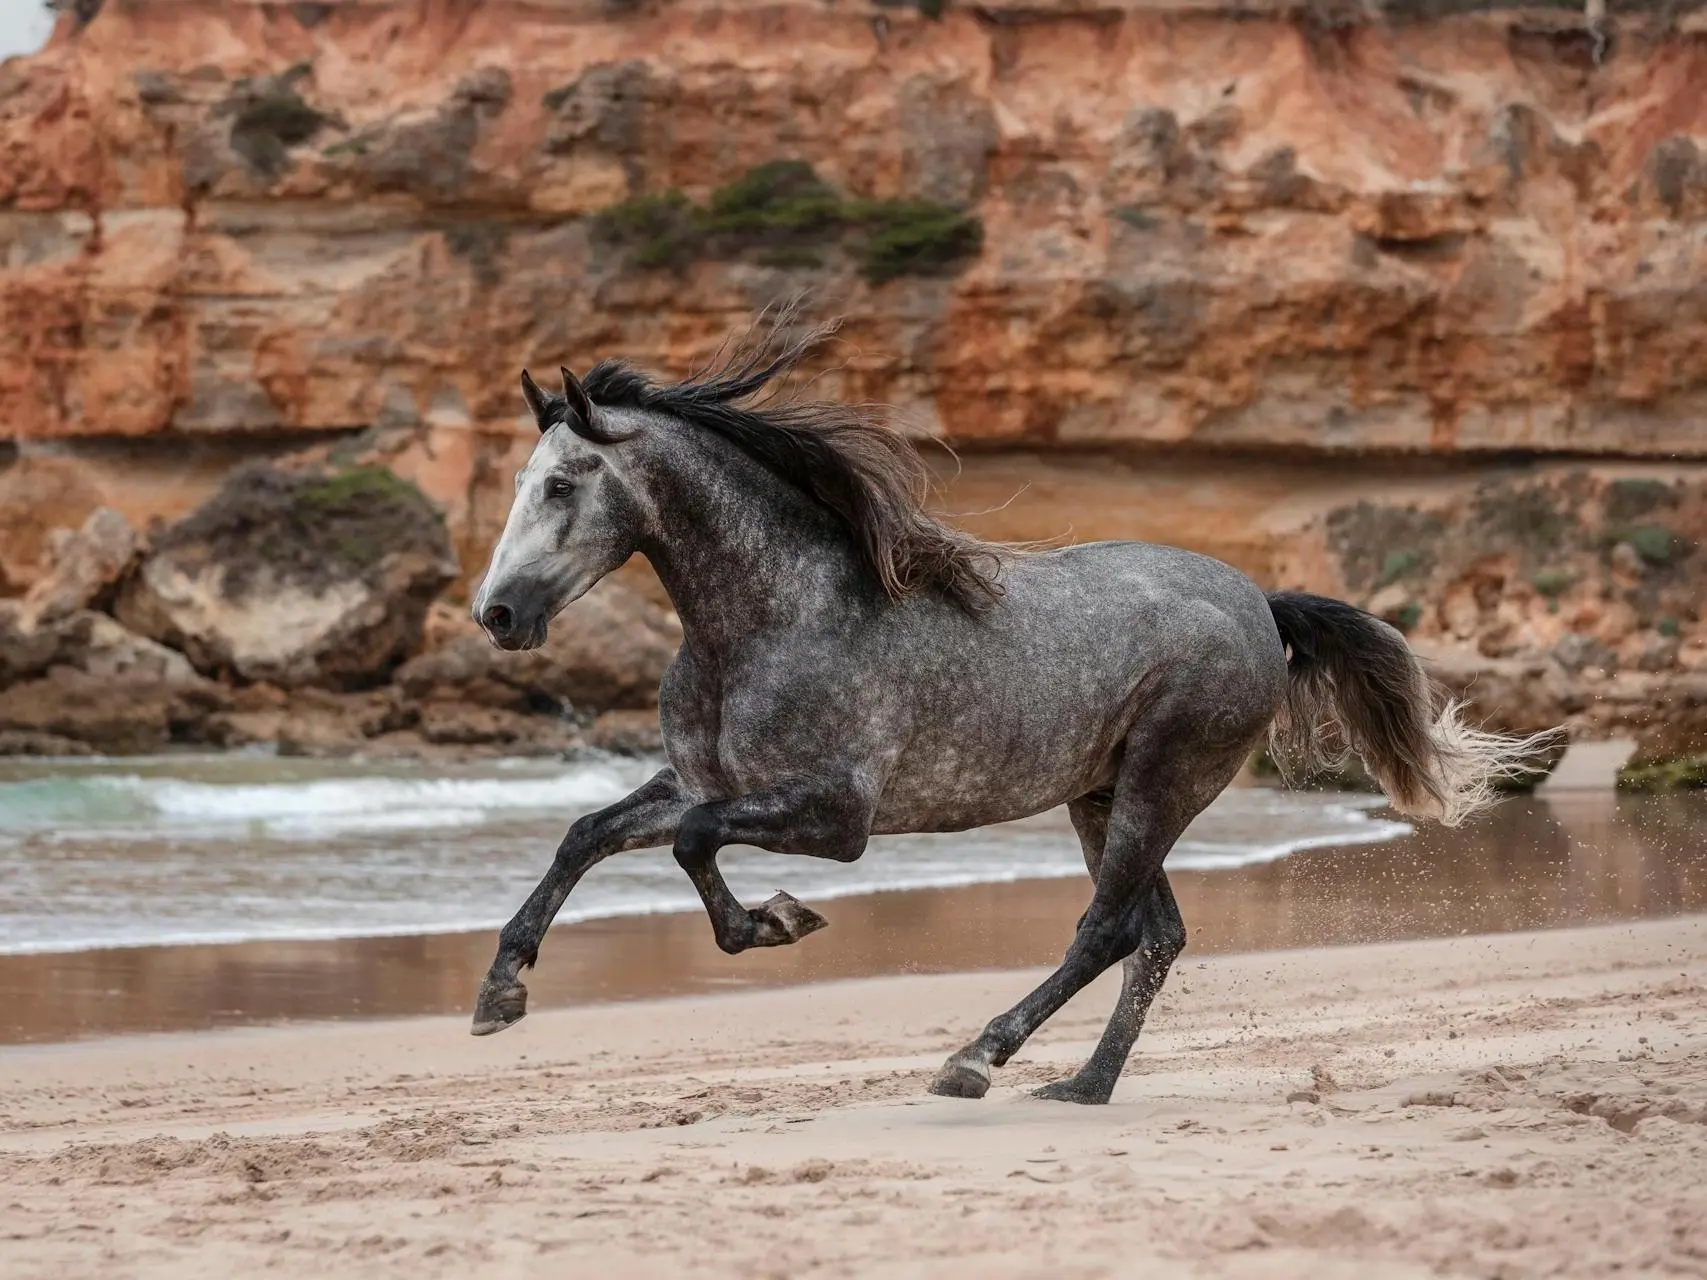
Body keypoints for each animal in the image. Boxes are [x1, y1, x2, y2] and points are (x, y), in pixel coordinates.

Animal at [467, 315, 1563, 1105]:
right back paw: (1082, 1084)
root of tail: (1258, 600)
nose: (497, 613)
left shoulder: (836, 814)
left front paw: (777, 920)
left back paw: (977, 1059)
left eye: (562, 483)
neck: (771, 616)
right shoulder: (703, 778)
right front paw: (500, 992)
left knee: (1107, 928)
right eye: (521, 479)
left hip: (1162, 782)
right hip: (1103, 794)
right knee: (1155, 936)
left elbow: (696, 843)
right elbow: (589, 832)